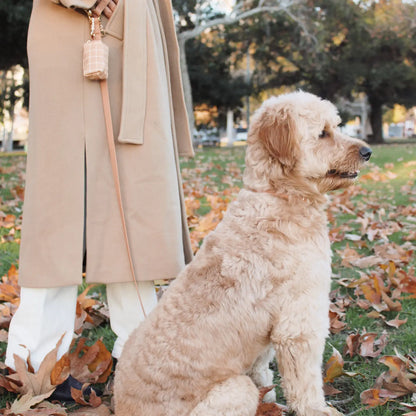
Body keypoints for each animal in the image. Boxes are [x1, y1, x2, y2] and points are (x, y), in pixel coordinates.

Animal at [114, 92, 374, 416]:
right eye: (323, 133)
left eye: (337, 126)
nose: (368, 151)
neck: (278, 195)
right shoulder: (298, 320)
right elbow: (304, 381)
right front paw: (316, 409)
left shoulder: (268, 332)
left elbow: (262, 368)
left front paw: (272, 398)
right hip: (236, 390)